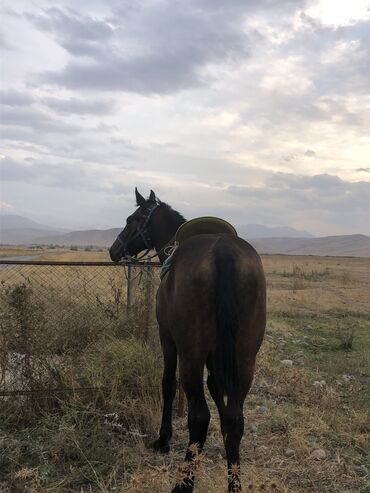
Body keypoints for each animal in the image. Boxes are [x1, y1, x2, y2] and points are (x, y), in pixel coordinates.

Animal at [109, 188, 266, 492]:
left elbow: (168, 384)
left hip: (191, 355)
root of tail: (223, 251)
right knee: (236, 417)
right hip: (245, 357)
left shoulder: (168, 338)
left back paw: (184, 482)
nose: (114, 250)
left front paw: (163, 439)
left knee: (199, 417)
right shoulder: (217, 355)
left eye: (131, 219)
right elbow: (217, 390)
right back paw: (233, 483)